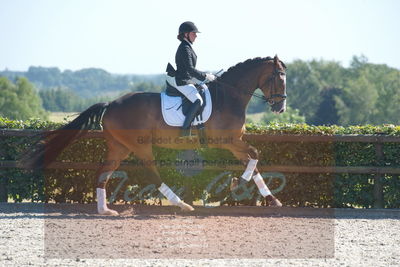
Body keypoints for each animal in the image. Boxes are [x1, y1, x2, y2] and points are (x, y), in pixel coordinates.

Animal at [25, 56, 288, 216]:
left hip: (119, 146)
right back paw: (182, 204)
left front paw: (272, 200)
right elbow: (255, 155)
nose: (280, 108)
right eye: (279, 78)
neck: (229, 96)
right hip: (139, 145)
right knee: (151, 172)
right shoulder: (227, 142)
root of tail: (111, 104)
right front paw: (236, 183)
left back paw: (105, 210)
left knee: (103, 172)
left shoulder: (234, 144)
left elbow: (253, 162)